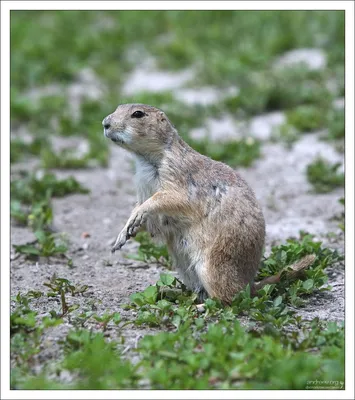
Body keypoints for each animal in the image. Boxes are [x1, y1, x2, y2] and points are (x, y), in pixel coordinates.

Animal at [101, 103, 316, 304]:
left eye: (138, 114)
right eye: (118, 107)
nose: (105, 123)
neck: (145, 159)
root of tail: (250, 284)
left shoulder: (176, 174)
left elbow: (167, 198)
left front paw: (137, 216)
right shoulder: (142, 185)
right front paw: (123, 235)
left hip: (212, 266)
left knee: (228, 299)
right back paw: (172, 293)